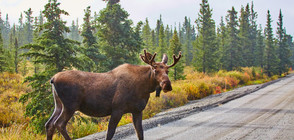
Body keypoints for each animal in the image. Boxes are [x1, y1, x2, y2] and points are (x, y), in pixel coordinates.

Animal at [45, 49, 181, 139]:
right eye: (155, 70)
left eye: (167, 71)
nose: (167, 85)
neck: (144, 88)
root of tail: (53, 79)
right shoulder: (117, 109)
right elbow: (110, 133)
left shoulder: (137, 110)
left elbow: (140, 132)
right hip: (70, 105)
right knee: (59, 124)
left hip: (59, 105)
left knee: (49, 124)